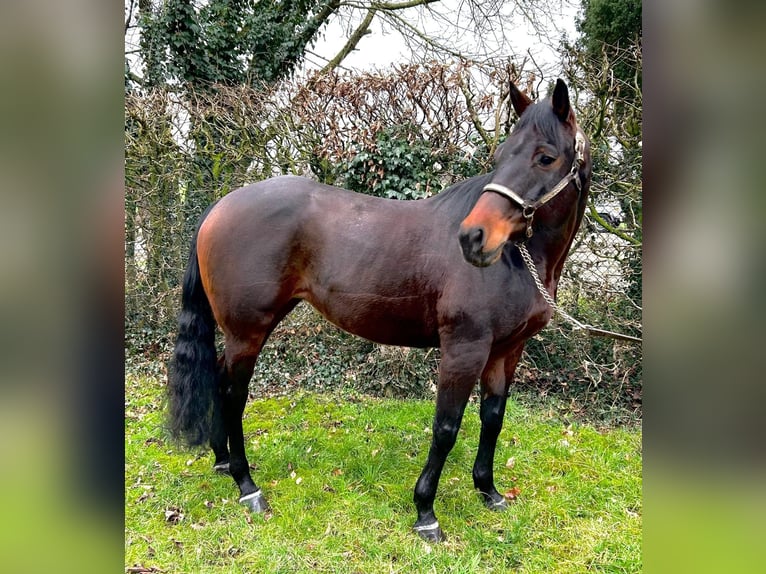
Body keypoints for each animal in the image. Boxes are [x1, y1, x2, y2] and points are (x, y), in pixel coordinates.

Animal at [168, 78, 591, 542]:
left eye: (545, 157)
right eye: (499, 157)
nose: (473, 238)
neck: (518, 259)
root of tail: (220, 206)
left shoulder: (506, 351)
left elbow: (492, 418)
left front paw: (489, 491)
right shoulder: (464, 349)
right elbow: (446, 427)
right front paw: (426, 512)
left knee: (219, 378)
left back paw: (223, 461)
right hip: (248, 331)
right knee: (233, 394)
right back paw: (247, 485)